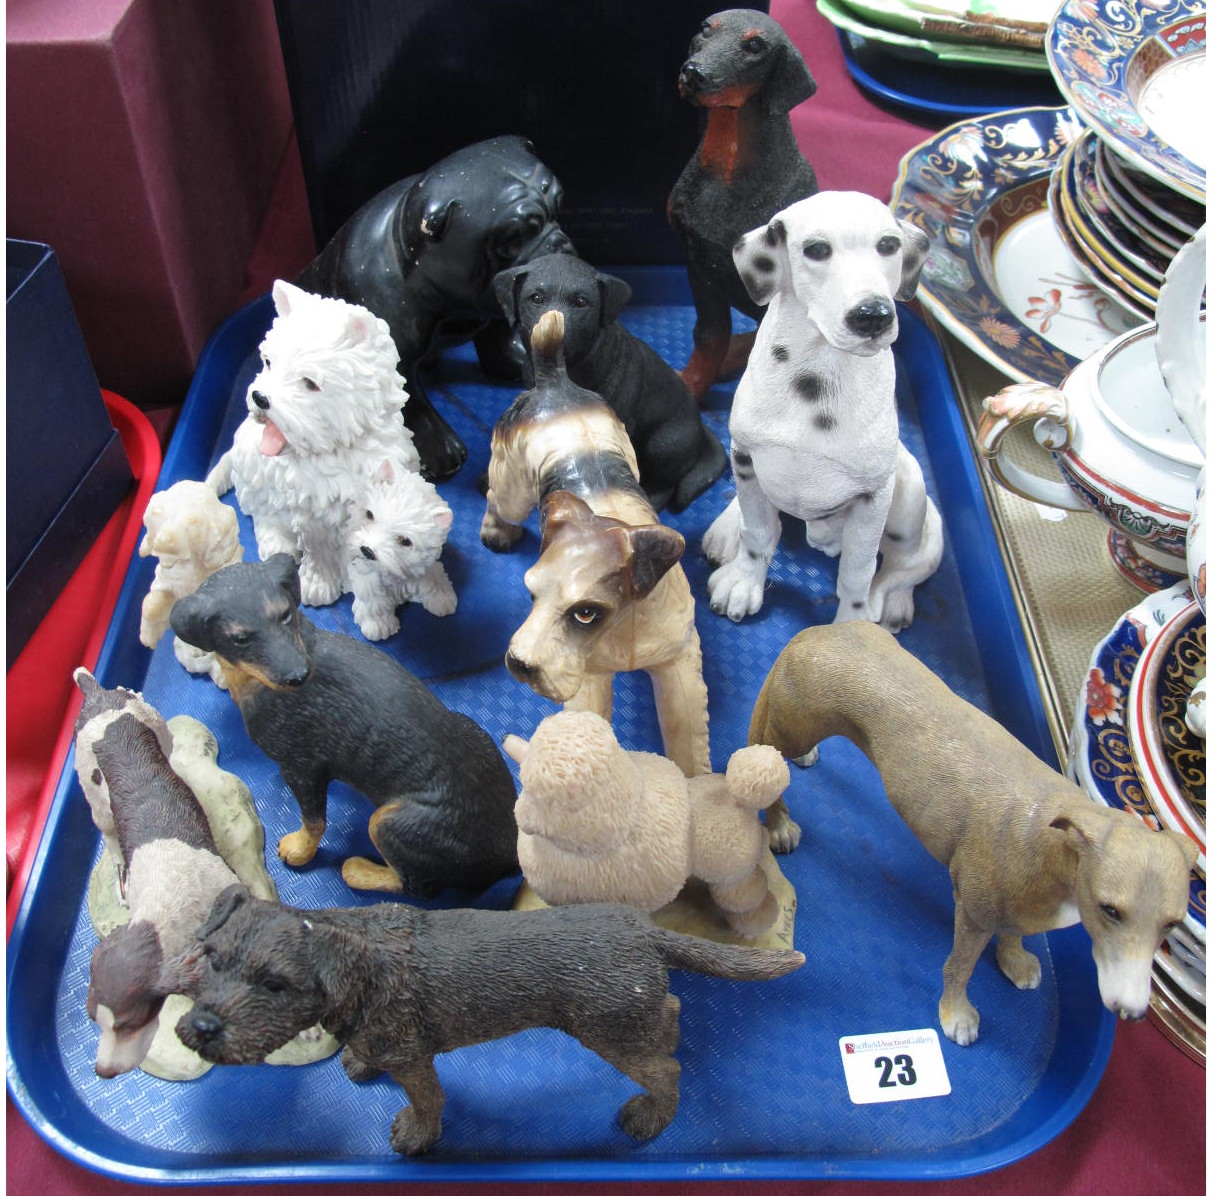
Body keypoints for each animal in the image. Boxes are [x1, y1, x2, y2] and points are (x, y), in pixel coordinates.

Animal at [213, 280, 427, 607]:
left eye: (310, 383)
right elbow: (318, 551)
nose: (260, 397)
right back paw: (278, 544)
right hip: (255, 481)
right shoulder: (311, 515)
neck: (339, 450)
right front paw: (319, 583)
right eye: (268, 362)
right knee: (263, 517)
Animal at [349, 458, 456, 645]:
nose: (367, 551)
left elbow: (433, 577)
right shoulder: (365, 575)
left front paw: (442, 597)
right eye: (369, 514)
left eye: (405, 541)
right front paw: (379, 624)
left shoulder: (422, 568)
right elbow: (373, 599)